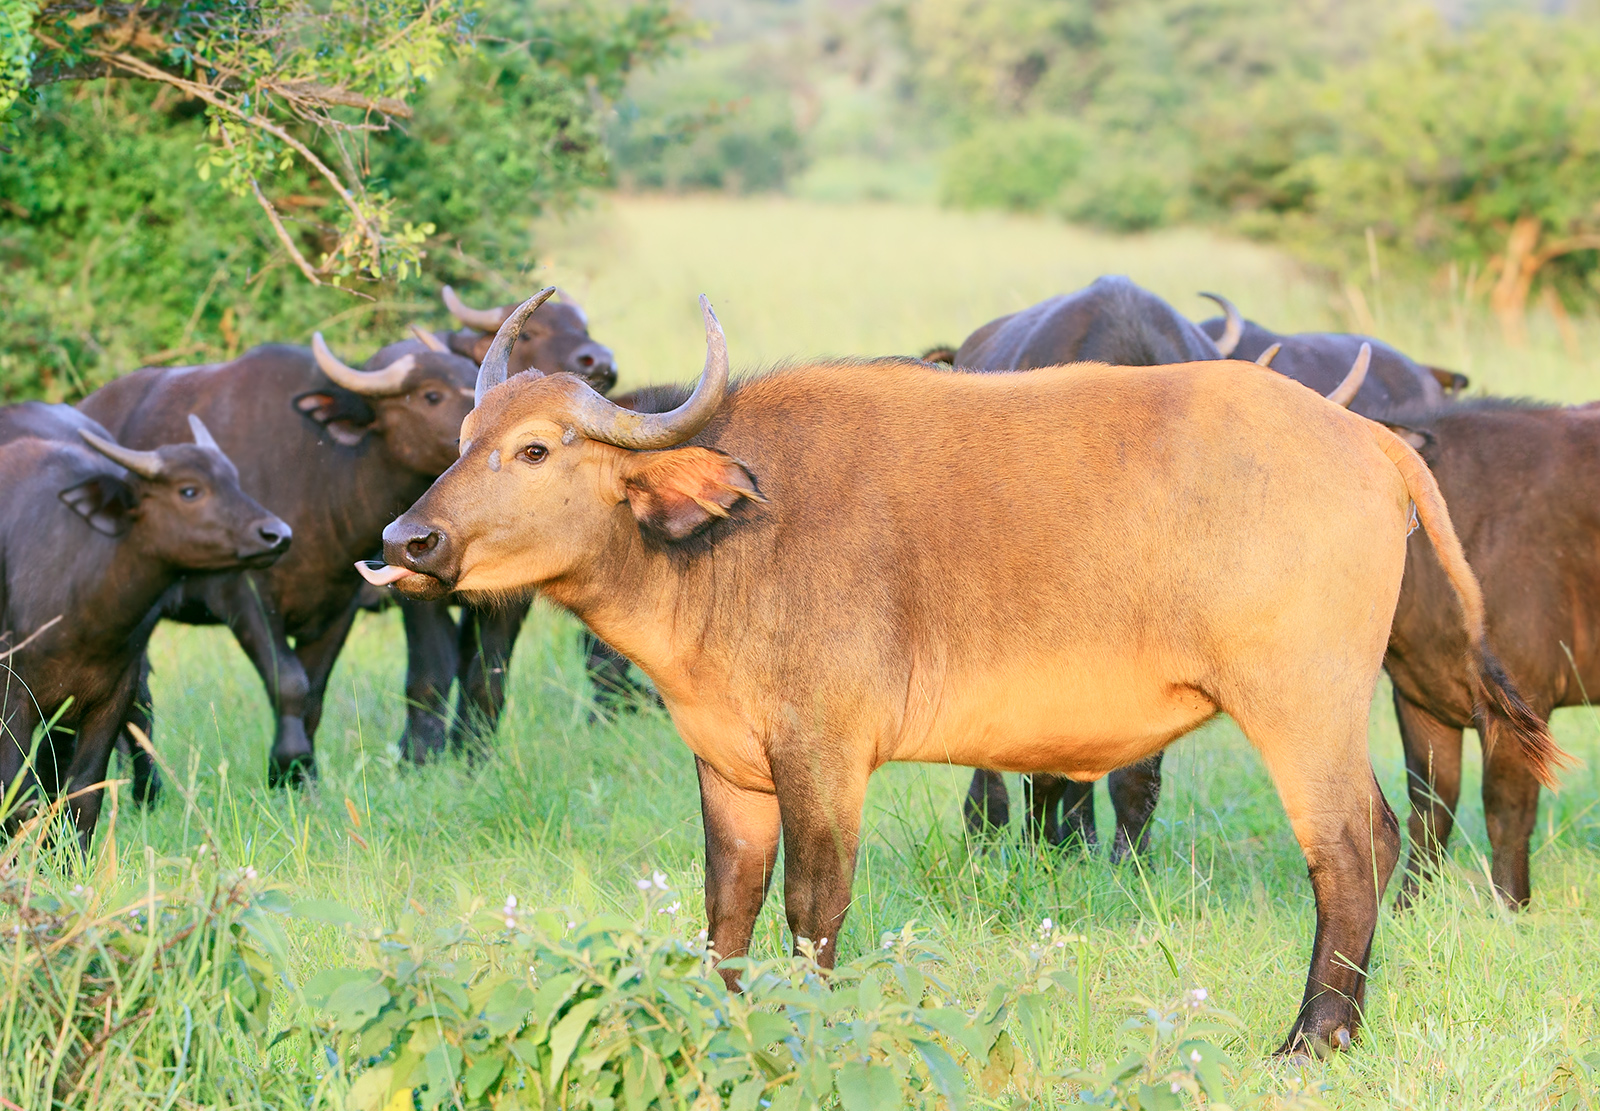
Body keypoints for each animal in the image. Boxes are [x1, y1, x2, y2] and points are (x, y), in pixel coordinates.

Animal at [0, 403, 288, 844]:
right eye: (189, 490)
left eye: (234, 479)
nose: (277, 534)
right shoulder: (12, 696)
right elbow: (15, 796)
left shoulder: (109, 697)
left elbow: (84, 795)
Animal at [79, 338, 478, 785]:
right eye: (431, 395)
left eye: (473, 375)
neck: (318, 474)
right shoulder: (246, 597)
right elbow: (288, 683)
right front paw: (288, 765)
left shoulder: (339, 608)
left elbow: (313, 693)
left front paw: (305, 777)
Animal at [365, 291, 1562, 1054]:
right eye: (462, 436)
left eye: (535, 450)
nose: (408, 538)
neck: (728, 537)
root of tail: (1367, 438)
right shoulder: (730, 767)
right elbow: (725, 911)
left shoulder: (823, 755)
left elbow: (814, 904)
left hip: (1301, 707)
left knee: (1350, 849)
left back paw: (1311, 1039)